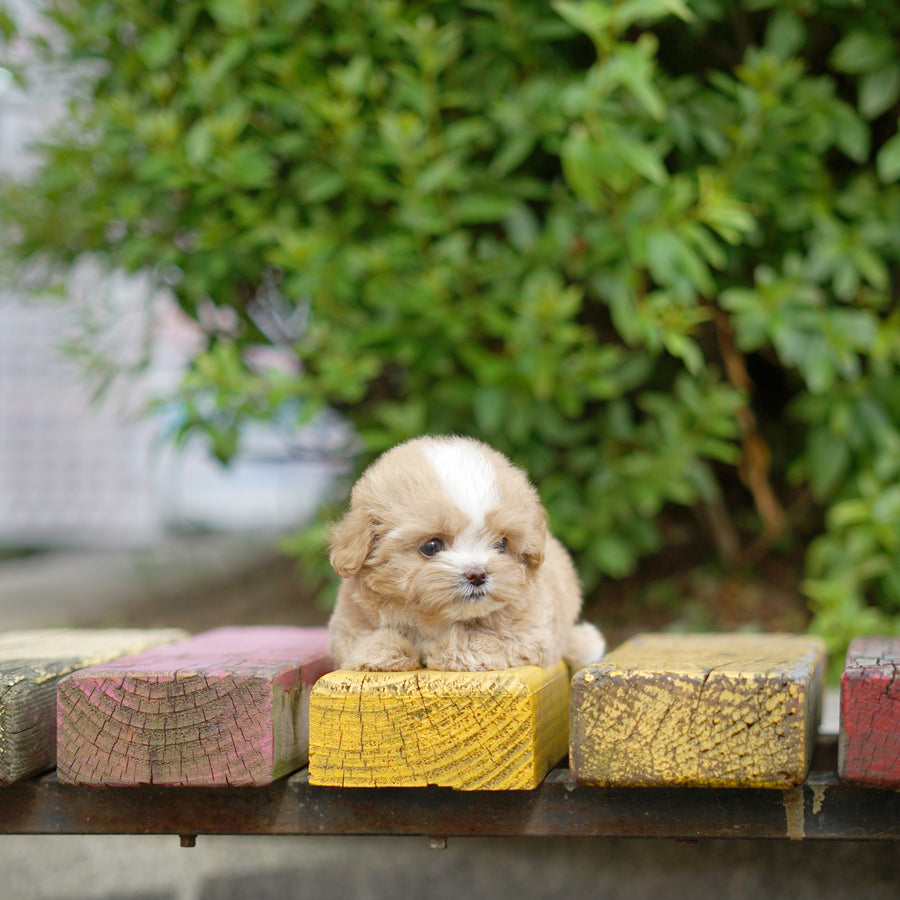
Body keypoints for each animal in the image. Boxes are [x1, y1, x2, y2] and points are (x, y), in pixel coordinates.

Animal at [324, 432, 604, 672]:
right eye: (432, 546)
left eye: (501, 544)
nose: (477, 574)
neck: (434, 619)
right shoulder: (347, 624)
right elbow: (359, 641)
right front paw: (382, 650)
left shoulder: (532, 634)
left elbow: (478, 640)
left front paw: (443, 650)